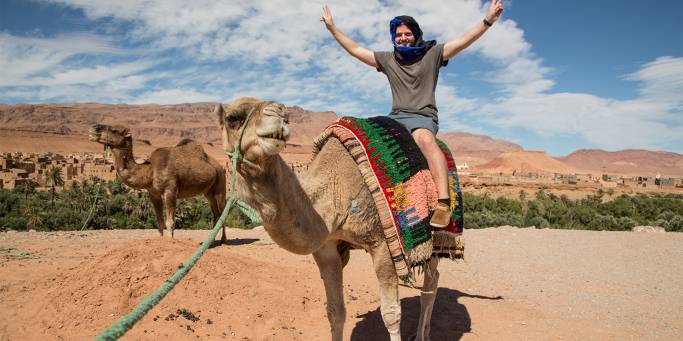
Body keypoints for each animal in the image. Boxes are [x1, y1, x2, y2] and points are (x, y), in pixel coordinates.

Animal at [87, 123, 227, 240]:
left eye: (114, 130)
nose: (94, 128)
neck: (150, 170)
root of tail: (219, 166)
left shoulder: (170, 190)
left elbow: (170, 222)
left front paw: (170, 242)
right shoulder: (153, 193)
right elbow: (159, 222)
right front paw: (160, 241)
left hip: (221, 183)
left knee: (222, 211)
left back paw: (223, 240)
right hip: (208, 192)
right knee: (216, 214)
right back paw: (211, 240)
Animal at [216, 97, 446, 340]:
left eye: (286, 117)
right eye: (232, 118)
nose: (278, 114)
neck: (337, 189)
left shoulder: (383, 244)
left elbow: (391, 314)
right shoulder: (327, 248)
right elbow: (335, 312)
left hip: (435, 239)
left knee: (430, 283)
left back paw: (421, 335)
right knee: (433, 281)